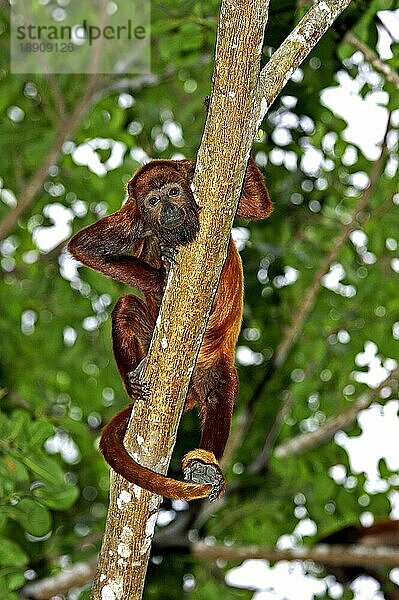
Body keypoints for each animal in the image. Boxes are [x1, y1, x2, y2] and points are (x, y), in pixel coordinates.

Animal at [68, 156, 272, 502]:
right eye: (153, 200)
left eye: (174, 191)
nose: (169, 209)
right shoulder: (134, 217)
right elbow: (84, 247)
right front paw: (160, 275)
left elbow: (258, 207)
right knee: (125, 307)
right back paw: (134, 380)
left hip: (215, 366)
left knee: (219, 393)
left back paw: (206, 467)